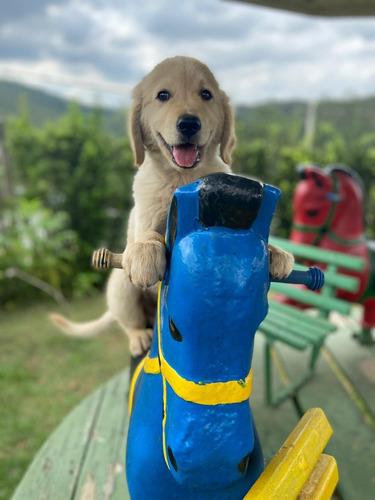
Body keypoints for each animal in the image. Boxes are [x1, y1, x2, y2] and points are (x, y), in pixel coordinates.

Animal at [49, 57, 294, 356]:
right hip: (121, 287)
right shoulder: (144, 217)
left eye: (206, 95)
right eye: (163, 95)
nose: (189, 124)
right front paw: (145, 253)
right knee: (129, 321)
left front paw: (276, 252)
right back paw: (138, 337)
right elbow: (149, 234)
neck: (181, 176)